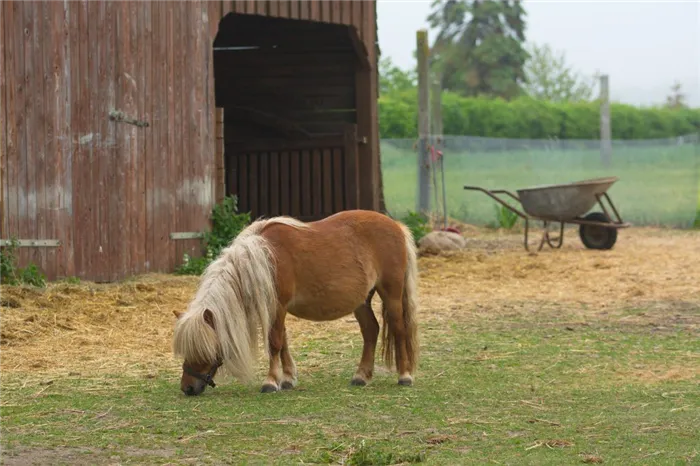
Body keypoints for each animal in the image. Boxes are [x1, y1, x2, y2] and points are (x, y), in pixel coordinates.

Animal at [172, 209, 418, 396]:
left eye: (203, 348)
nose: (187, 388)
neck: (264, 257)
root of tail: (397, 226)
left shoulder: (278, 307)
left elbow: (274, 343)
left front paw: (271, 381)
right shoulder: (276, 309)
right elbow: (283, 343)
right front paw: (288, 378)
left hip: (391, 294)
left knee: (399, 329)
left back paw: (404, 375)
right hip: (362, 301)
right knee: (370, 330)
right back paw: (361, 376)